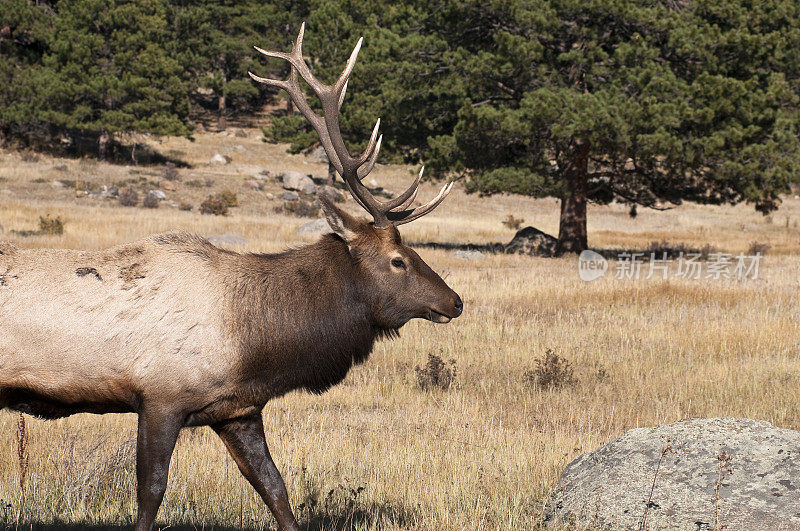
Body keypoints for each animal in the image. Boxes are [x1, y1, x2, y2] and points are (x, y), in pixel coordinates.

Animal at [0, 22, 460, 528]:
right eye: (398, 259)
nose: (455, 301)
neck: (256, 344)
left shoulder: (237, 409)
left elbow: (275, 488)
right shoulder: (160, 395)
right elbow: (150, 492)